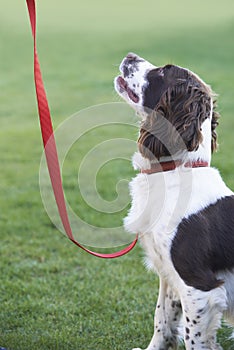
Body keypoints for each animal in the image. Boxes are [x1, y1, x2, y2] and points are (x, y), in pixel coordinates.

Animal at [114, 52, 234, 350]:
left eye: (163, 71)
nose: (130, 55)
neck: (173, 170)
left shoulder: (199, 288)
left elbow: (194, 338)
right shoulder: (169, 275)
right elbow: (162, 318)